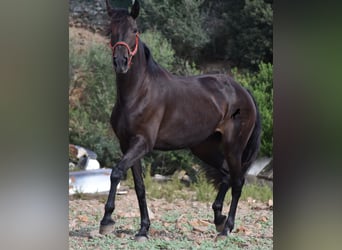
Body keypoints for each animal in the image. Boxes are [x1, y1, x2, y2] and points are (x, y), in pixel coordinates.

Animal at [99, 0, 262, 242]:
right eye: (111, 30)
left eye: (135, 30)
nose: (121, 62)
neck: (139, 92)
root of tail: (243, 91)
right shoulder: (127, 144)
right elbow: (139, 187)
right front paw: (143, 229)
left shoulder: (142, 143)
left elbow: (116, 172)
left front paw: (107, 221)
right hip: (204, 147)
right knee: (225, 175)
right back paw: (218, 219)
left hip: (233, 146)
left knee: (237, 181)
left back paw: (226, 229)